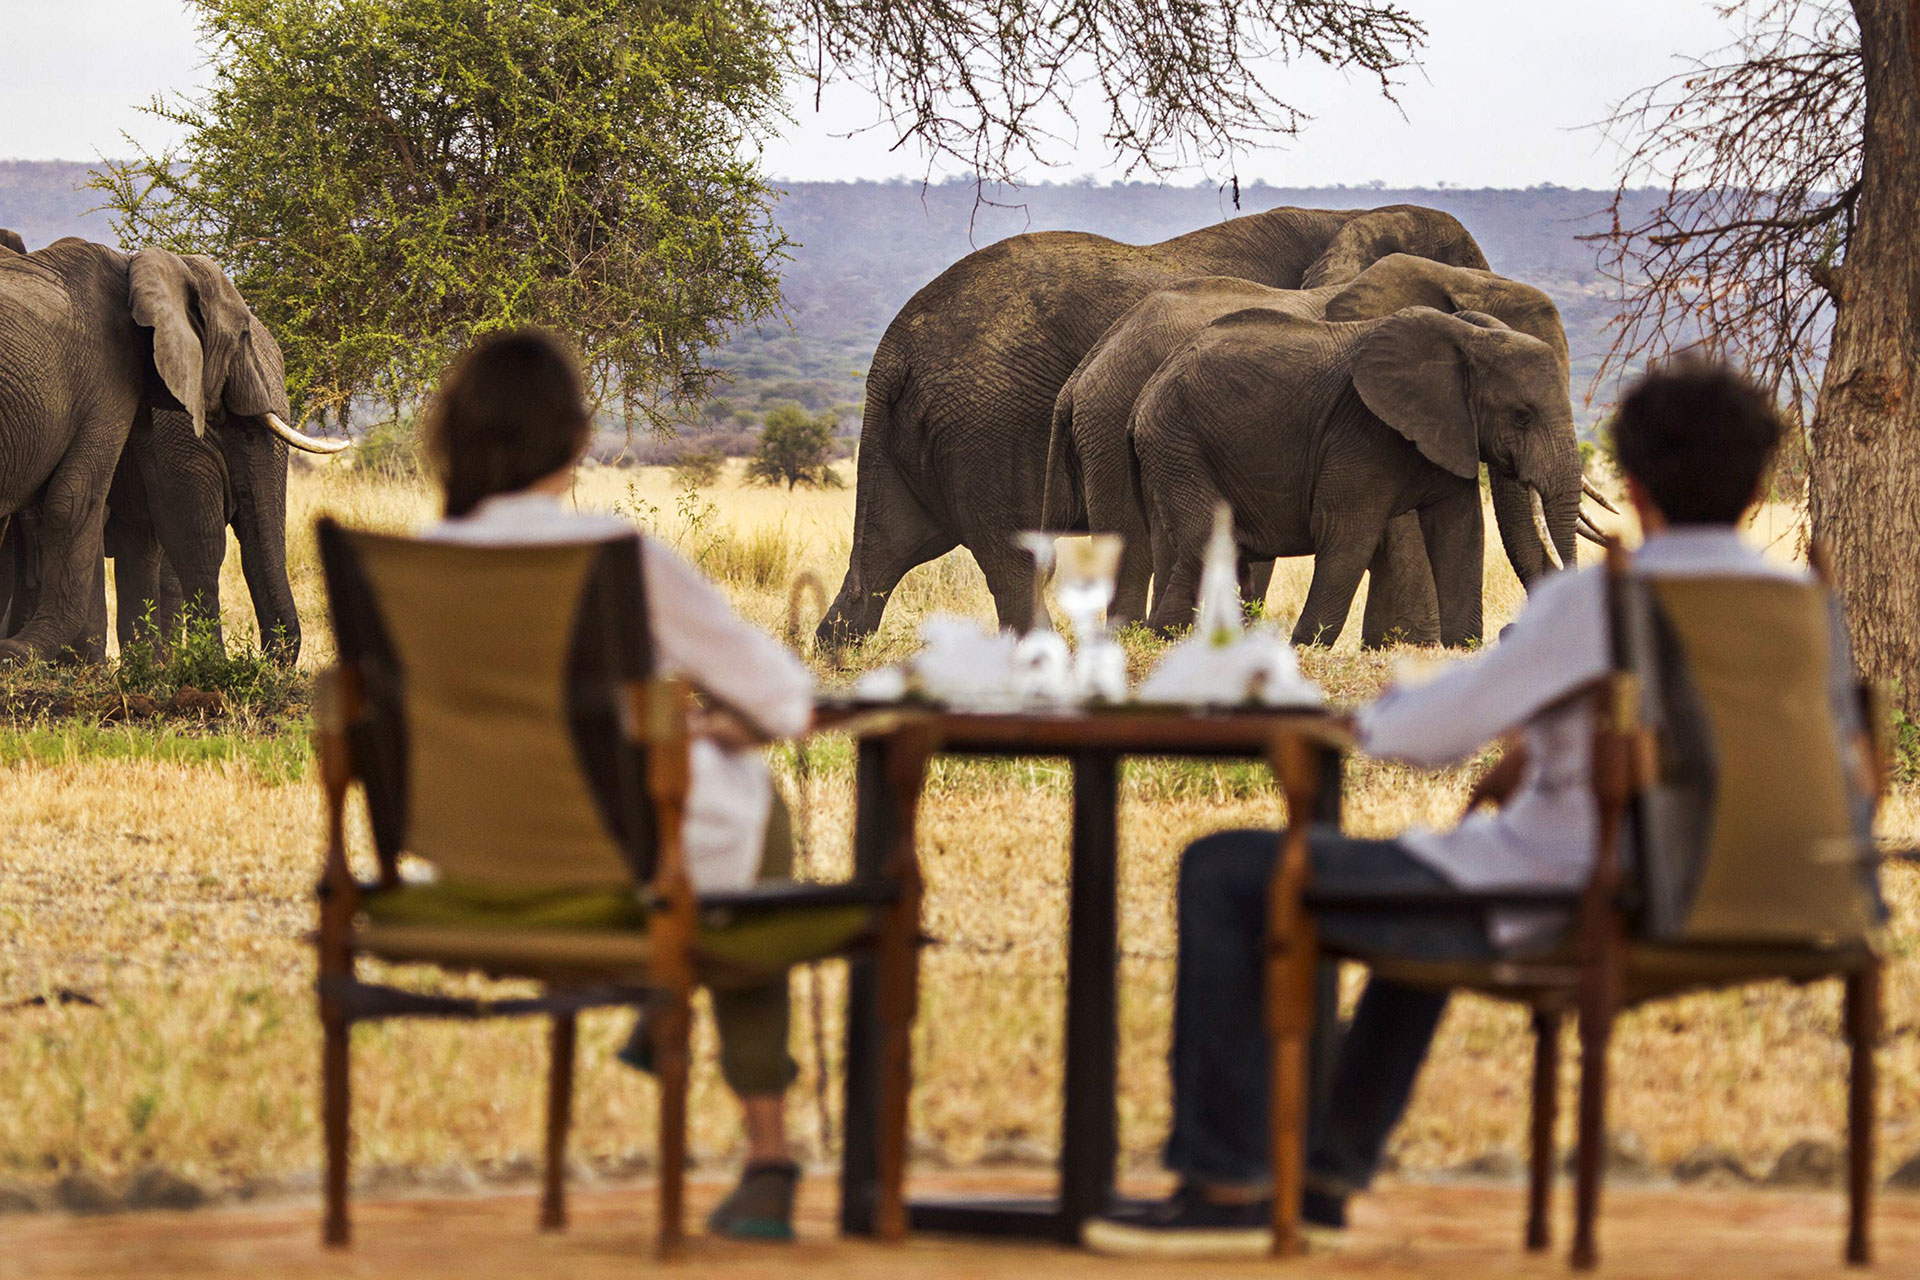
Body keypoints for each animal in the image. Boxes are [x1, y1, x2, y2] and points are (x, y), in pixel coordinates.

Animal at [806, 204, 1482, 644]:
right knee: (1018, 560)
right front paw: (1410, 648)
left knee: (888, 548)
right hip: (986, 425)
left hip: (914, 429)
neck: (1355, 217)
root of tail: (895, 349)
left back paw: (836, 652)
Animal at [1052, 253, 1574, 640]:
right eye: (1522, 415)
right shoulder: (1361, 427)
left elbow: (1461, 533)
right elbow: (1351, 532)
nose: (1510, 633)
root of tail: (1085, 371)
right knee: (1194, 539)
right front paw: (1314, 646)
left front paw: (1457, 650)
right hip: (1163, 436)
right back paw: (1160, 637)